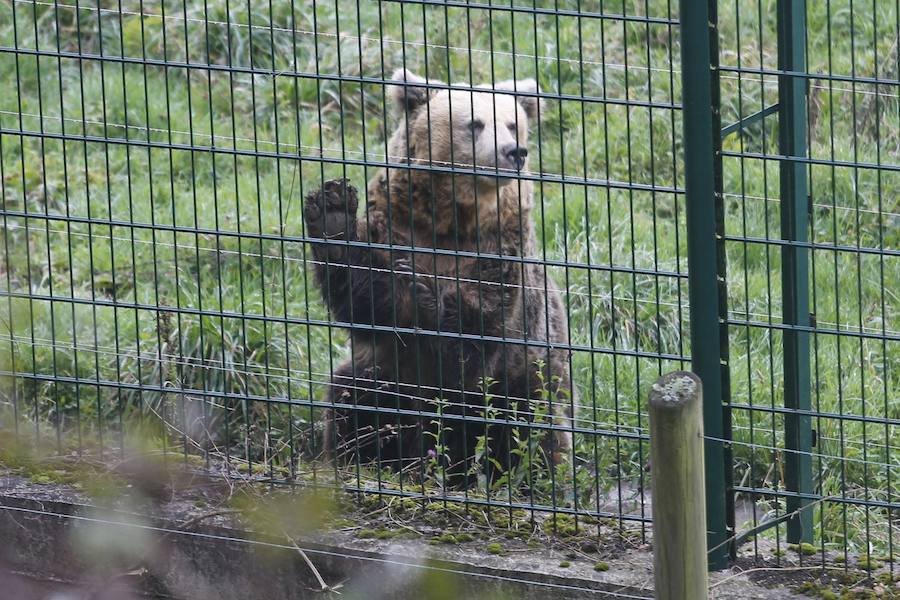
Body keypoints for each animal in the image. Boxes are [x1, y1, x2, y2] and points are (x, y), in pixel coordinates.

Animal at [302, 69, 568, 482]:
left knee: (527, 428)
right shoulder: (397, 227)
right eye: (475, 123)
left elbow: (477, 325)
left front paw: (424, 294)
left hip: (524, 376)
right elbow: (362, 293)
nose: (514, 152)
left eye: (513, 124)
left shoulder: (501, 251)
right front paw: (333, 214)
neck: (452, 221)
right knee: (356, 403)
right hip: (386, 378)